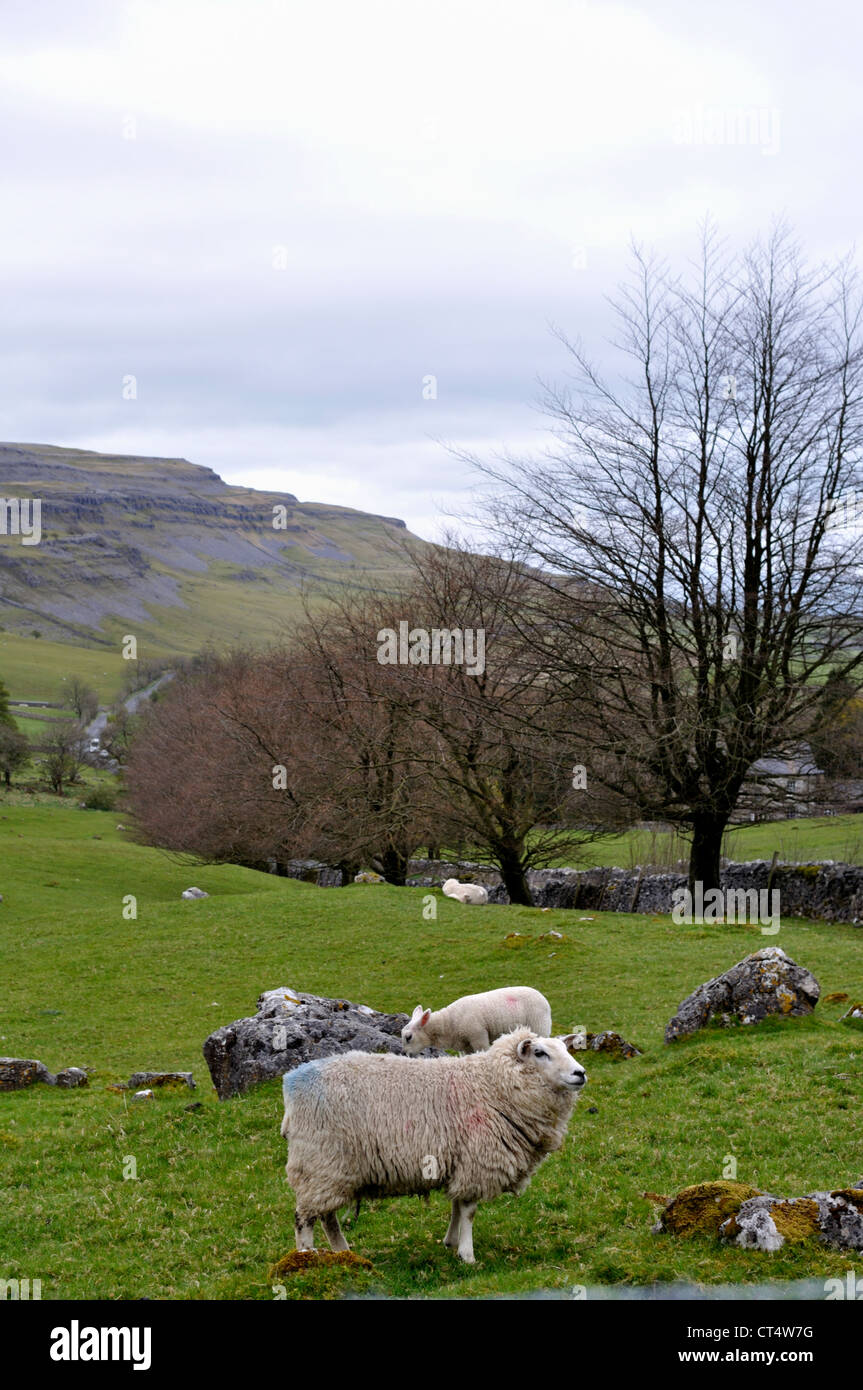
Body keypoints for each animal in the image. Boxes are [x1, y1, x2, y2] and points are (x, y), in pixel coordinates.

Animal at [282, 1028, 586, 1267]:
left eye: (565, 1049)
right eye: (540, 1053)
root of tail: (292, 1081)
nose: (580, 1073)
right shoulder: (476, 1160)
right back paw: (305, 1258)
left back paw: (343, 1254)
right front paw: (467, 1255)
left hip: (329, 1169)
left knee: (326, 1216)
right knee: (304, 1218)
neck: (491, 1085)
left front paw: (451, 1242)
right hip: (319, 1161)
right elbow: (469, 1210)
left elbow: (456, 1206)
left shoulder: (461, 1160)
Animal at [397, 984, 547, 1056]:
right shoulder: (465, 1045)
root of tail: (541, 996)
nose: (404, 1054)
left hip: (539, 1026)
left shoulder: (478, 1036)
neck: (448, 1024)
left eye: (409, 1037)